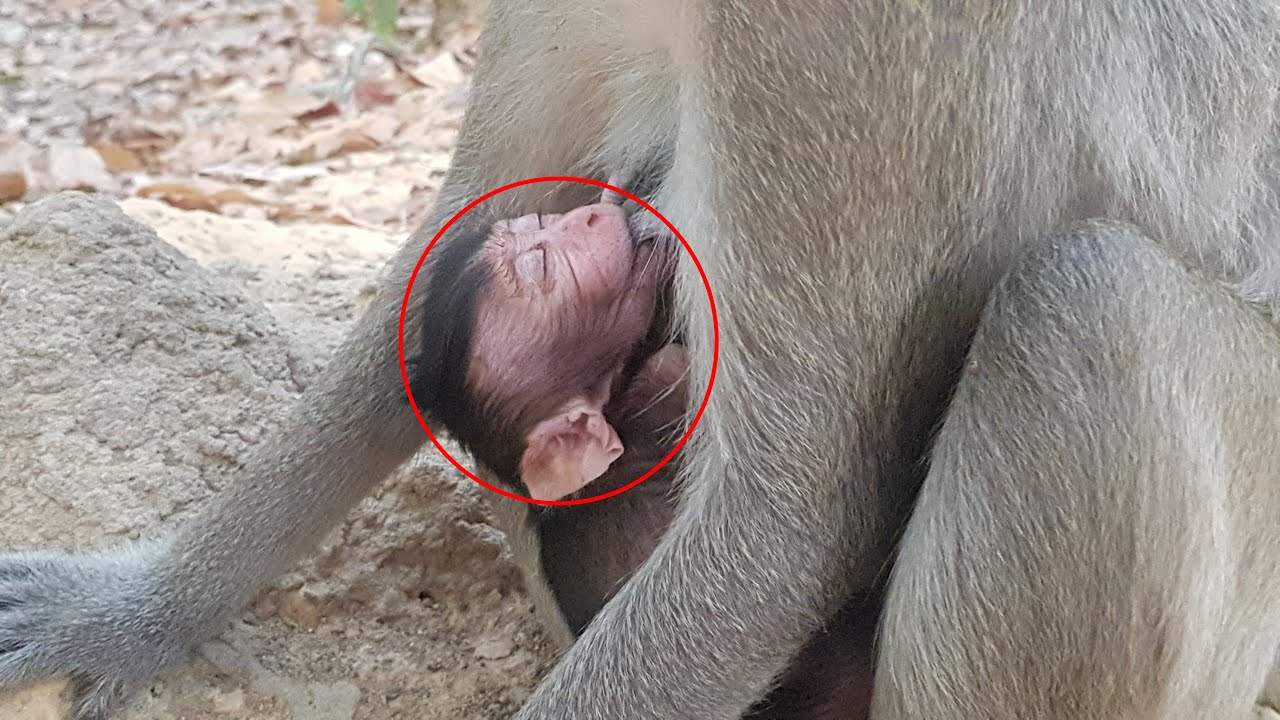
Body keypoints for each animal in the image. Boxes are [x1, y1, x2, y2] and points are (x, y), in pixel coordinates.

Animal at [2, 2, 1280, 720]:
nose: (606, 235)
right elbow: (454, 241)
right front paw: (139, 609)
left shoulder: (857, 52)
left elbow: (791, 516)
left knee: (1089, 302)